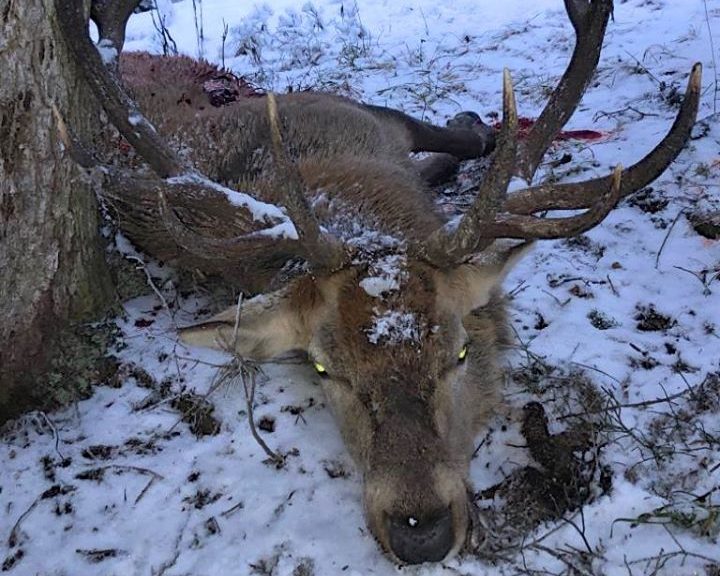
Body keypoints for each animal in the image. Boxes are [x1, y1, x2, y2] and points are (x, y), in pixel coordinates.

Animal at [54, 0, 701, 565]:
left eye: (458, 351)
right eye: (322, 368)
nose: (421, 532)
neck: (356, 188)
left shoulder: (351, 111)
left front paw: (472, 129)